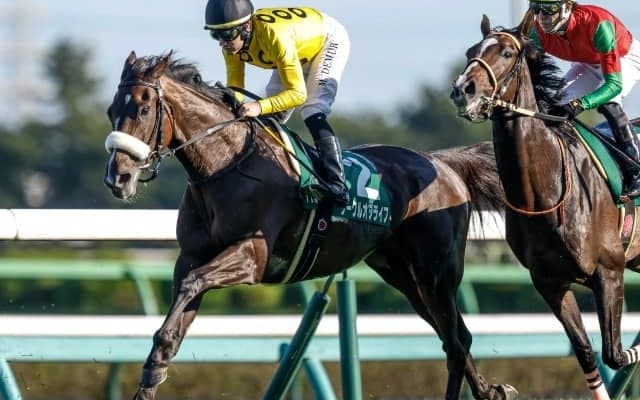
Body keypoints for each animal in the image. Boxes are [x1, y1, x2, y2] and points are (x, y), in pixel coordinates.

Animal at [103, 50, 516, 400]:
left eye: (143, 108)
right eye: (111, 111)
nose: (117, 178)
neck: (226, 164)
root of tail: (441, 164)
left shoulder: (251, 257)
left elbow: (193, 283)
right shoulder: (191, 256)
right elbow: (175, 321)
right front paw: (152, 373)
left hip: (437, 273)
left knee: (457, 340)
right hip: (402, 274)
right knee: (453, 336)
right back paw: (492, 390)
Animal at [450, 14, 640, 400]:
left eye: (507, 53)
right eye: (470, 51)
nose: (464, 89)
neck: (544, 192)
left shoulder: (609, 271)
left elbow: (615, 354)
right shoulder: (550, 283)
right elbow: (587, 353)